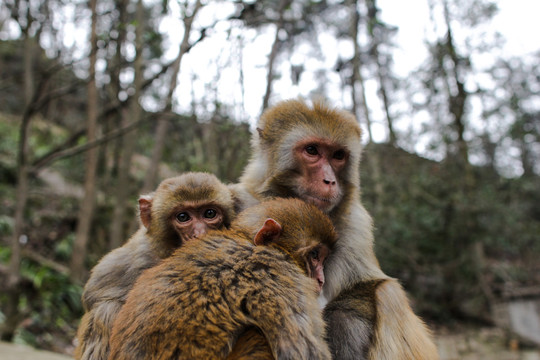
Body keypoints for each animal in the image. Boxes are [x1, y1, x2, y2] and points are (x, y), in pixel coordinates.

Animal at [75, 172, 235, 360]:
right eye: (183, 217)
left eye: (209, 213)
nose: (200, 234)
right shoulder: (141, 258)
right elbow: (93, 294)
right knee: (106, 310)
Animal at [107, 197, 336, 360]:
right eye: (314, 255)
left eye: (323, 258)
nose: (320, 279)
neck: (248, 242)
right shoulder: (282, 276)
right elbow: (302, 353)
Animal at [232, 99, 438, 360]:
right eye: (312, 150)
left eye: (338, 155)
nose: (330, 181)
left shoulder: (356, 224)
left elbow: (367, 286)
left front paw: (344, 323)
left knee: (387, 293)